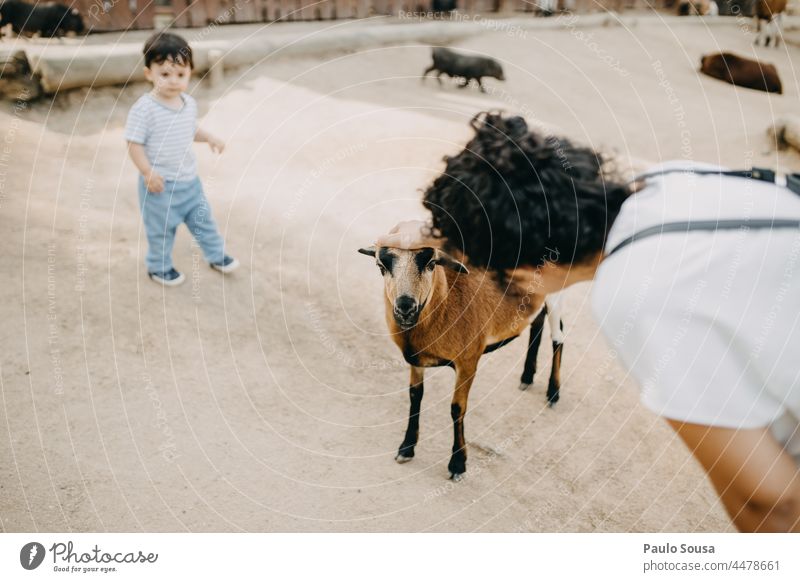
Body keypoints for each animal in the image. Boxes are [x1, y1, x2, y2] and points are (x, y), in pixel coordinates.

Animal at [360, 244, 564, 482]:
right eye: (380, 266)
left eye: (431, 264)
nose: (405, 307)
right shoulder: (416, 360)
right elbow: (415, 395)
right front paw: (407, 448)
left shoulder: (468, 361)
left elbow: (457, 408)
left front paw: (458, 464)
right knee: (537, 321)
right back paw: (527, 376)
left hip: (557, 293)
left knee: (558, 335)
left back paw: (553, 393)